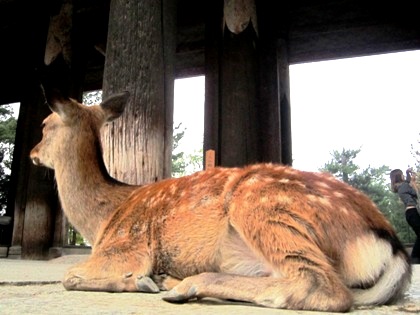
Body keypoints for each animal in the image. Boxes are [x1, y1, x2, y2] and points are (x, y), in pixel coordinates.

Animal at [28, 87, 410, 312]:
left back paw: (185, 286)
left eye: (45, 125)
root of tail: (392, 244)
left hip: (262, 206)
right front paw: (150, 280)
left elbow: (70, 276)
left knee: (321, 286)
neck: (103, 219)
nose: (31, 153)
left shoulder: (127, 248)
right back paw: (173, 281)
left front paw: (139, 281)